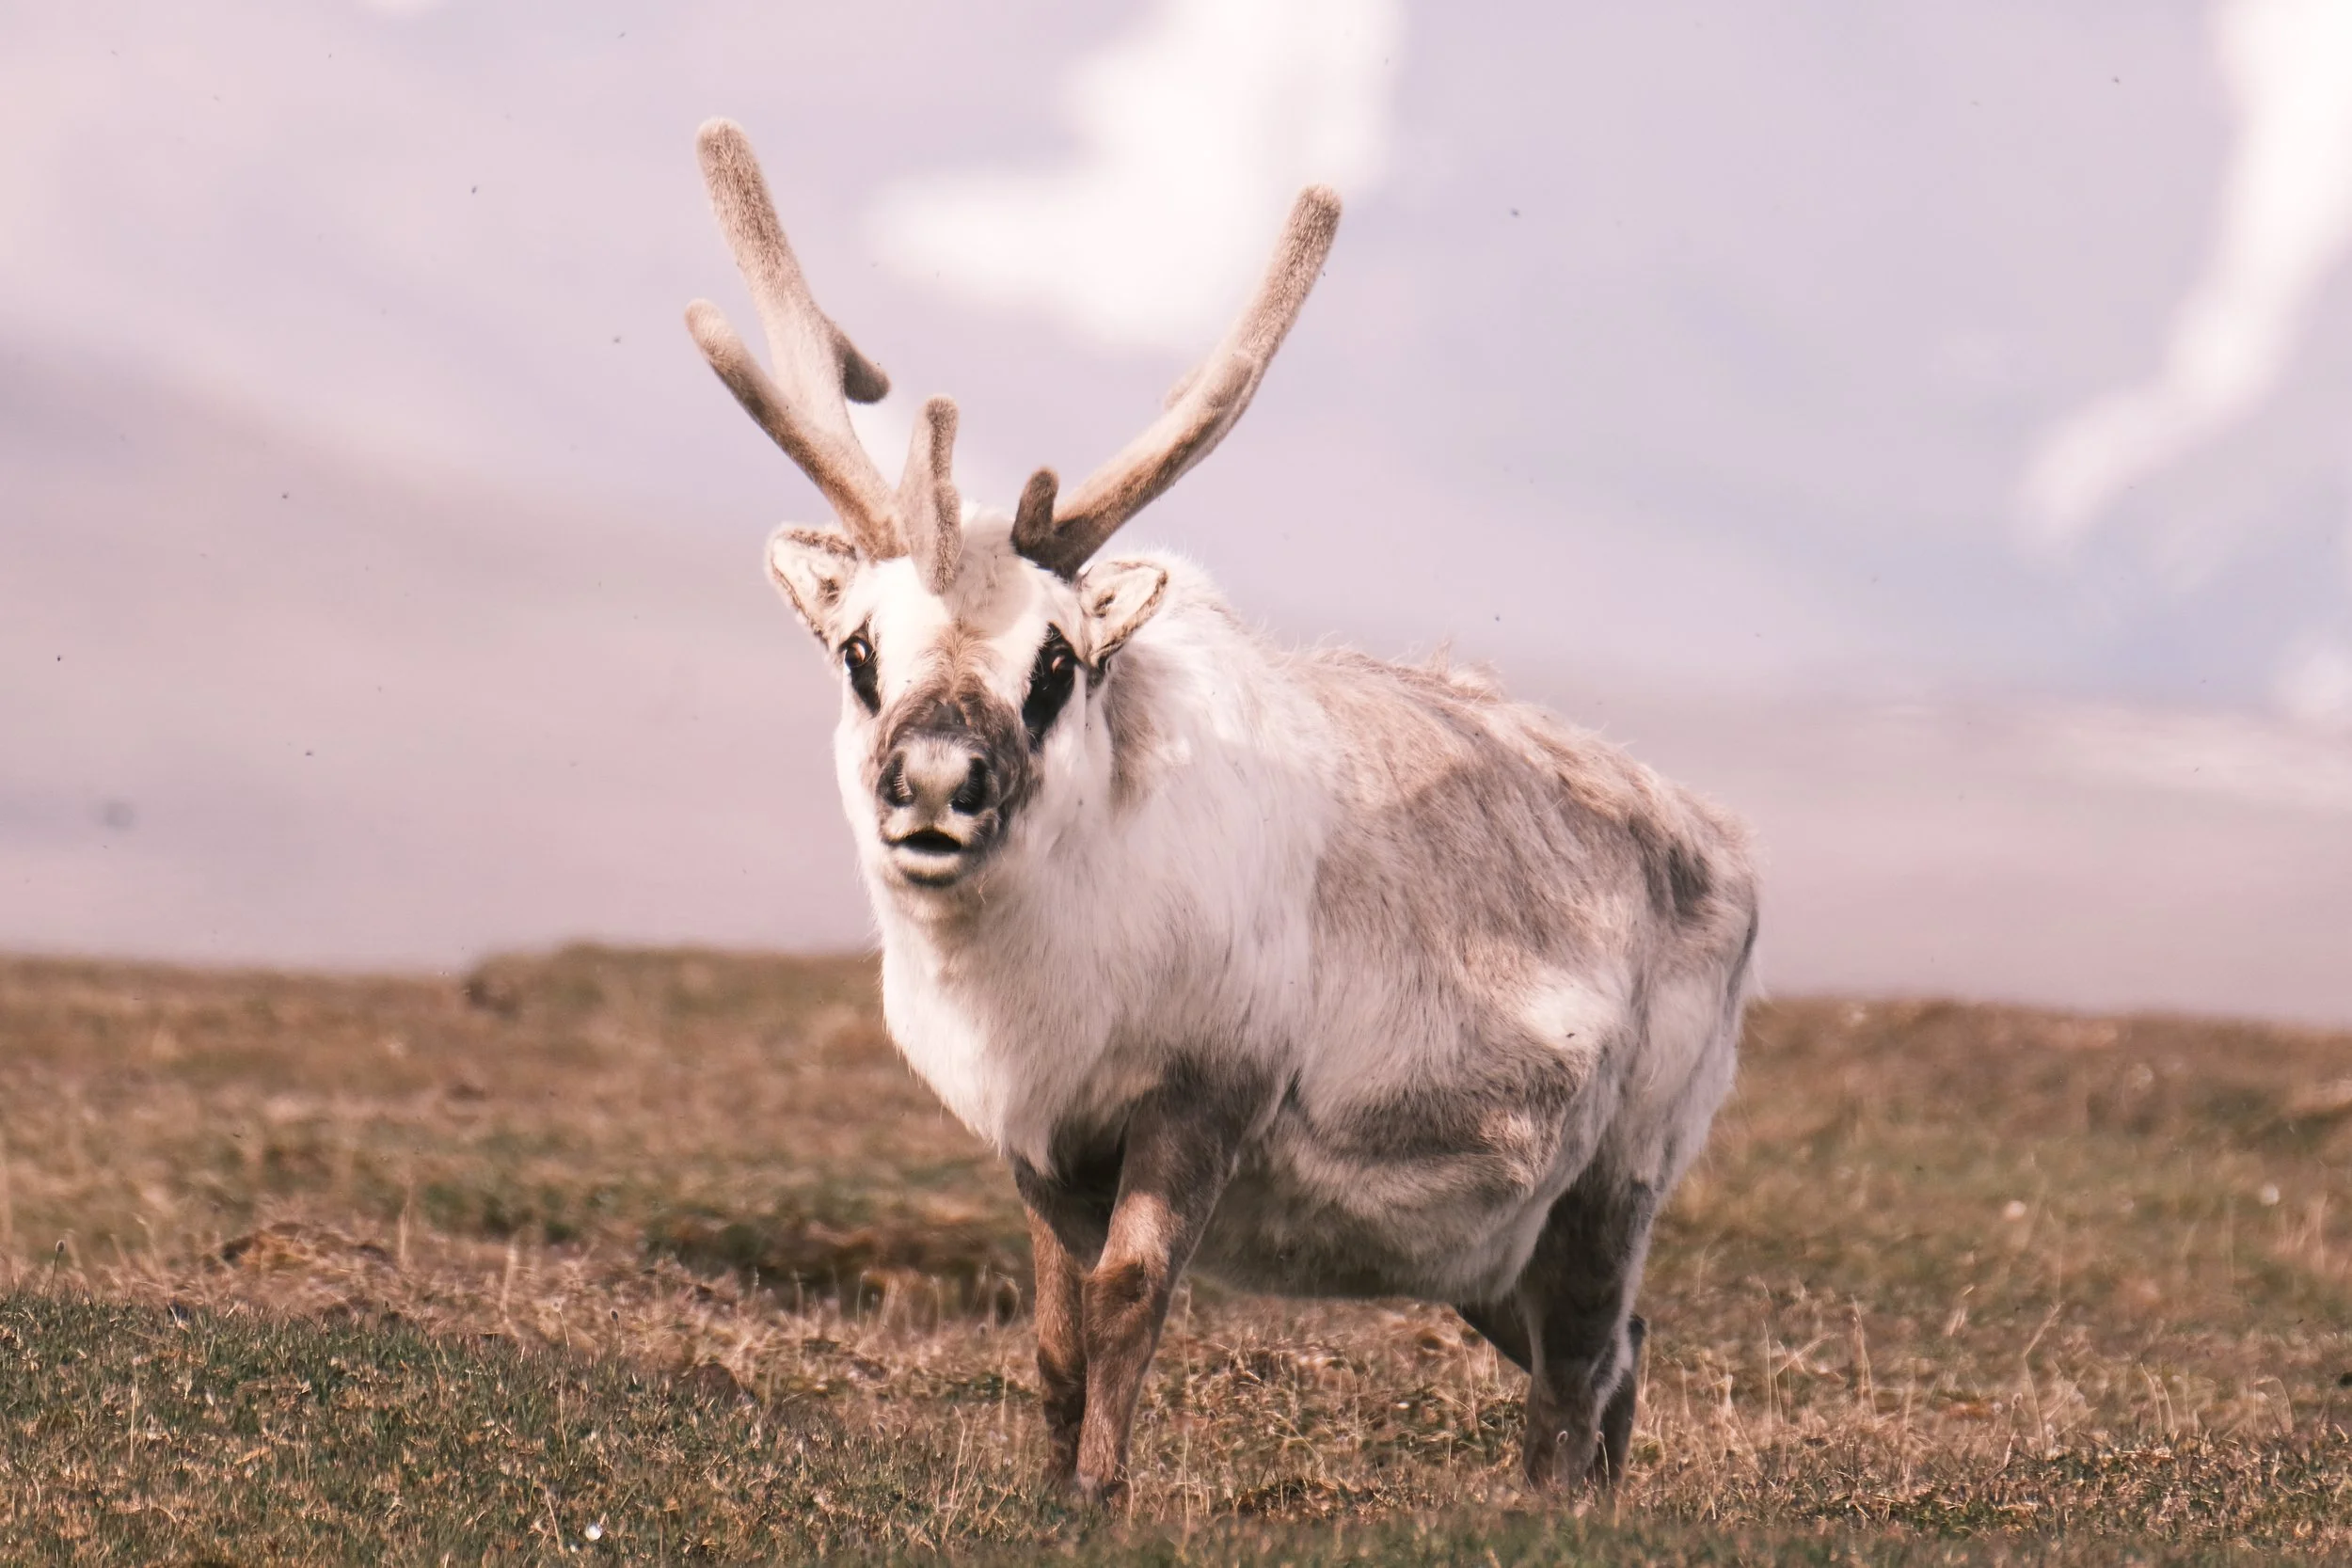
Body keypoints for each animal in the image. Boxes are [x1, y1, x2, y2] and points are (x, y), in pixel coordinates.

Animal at [684, 118, 1758, 1505]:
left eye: (1056, 661)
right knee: (1618, 1355)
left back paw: (1544, 1508)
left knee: (1581, 1369)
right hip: (1485, 1254)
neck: (1040, 973)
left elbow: (1130, 1298)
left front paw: (1097, 1498)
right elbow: (1054, 1331)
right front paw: (1049, 1486)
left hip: (1612, 1181)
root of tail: (1725, 849)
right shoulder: (1039, 1139)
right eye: (861, 650)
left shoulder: (1200, 1096)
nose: (932, 784)